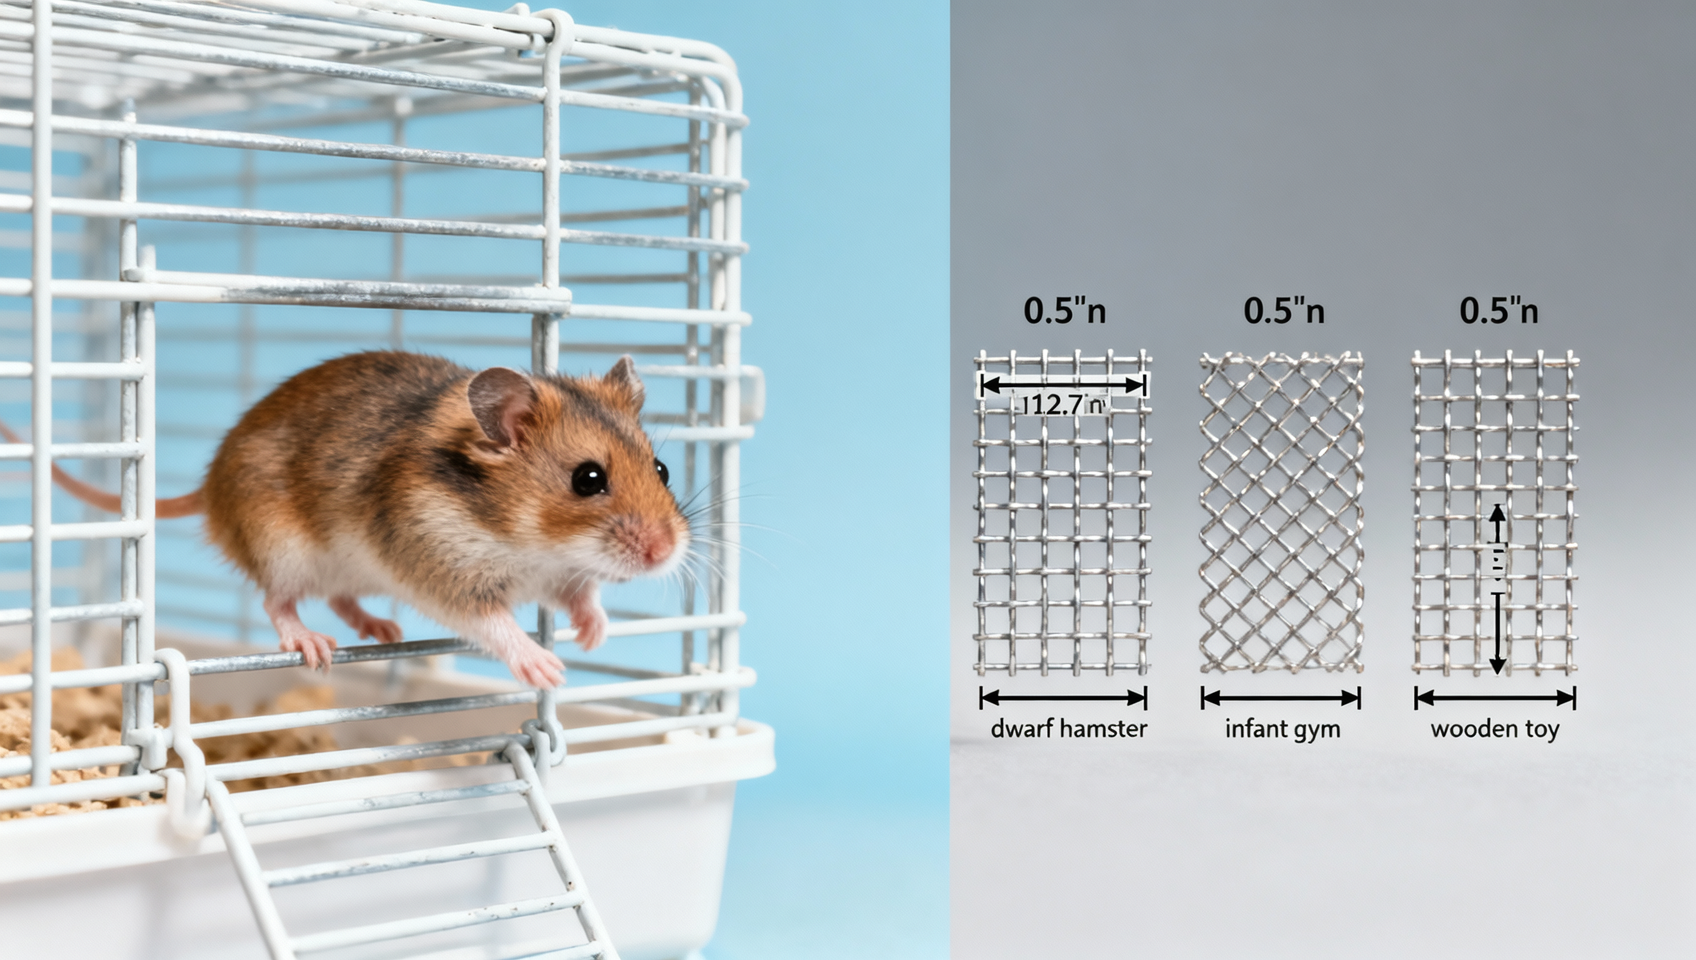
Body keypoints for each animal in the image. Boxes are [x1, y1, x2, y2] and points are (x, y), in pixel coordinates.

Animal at [24, 351, 689, 688]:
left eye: (661, 469)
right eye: (588, 479)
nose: (665, 554)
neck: (530, 542)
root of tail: (206, 491)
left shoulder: (562, 573)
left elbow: (583, 595)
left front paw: (593, 634)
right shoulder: (441, 568)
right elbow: (494, 624)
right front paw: (548, 669)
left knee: (341, 597)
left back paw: (382, 629)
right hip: (284, 547)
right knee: (278, 602)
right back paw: (314, 645)